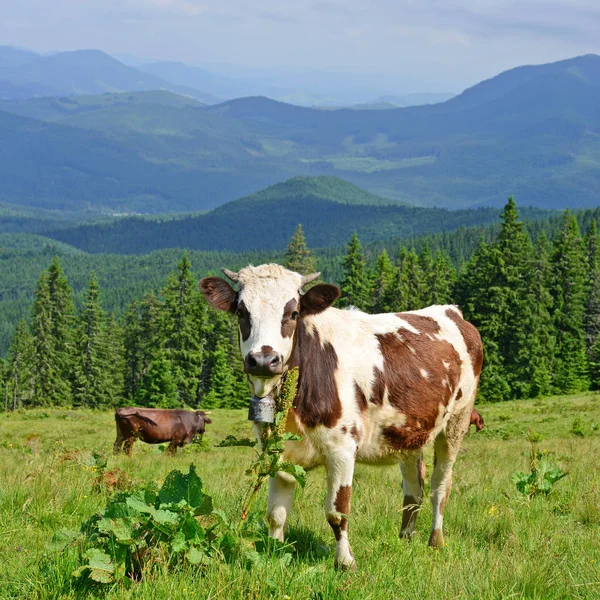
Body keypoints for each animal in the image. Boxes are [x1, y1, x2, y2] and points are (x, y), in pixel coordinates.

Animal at [200, 264, 482, 568]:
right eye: (242, 312)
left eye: (293, 313)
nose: (264, 360)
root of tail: (450, 310)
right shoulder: (276, 450)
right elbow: (276, 514)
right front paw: (273, 553)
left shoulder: (342, 447)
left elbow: (337, 512)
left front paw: (345, 562)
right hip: (408, 430)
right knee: (414, 489)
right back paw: (405, 539)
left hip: (456, 421)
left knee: (440, 485)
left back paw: (435, 541)